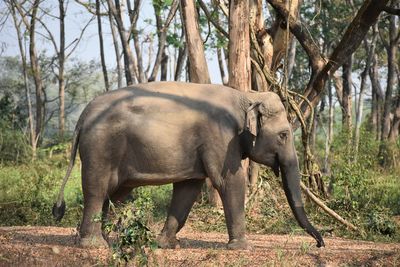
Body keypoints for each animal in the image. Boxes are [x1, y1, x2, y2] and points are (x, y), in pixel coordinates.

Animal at [52, 82, 324, 251]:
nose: (320, 243)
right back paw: (93, 245)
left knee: (113, 194)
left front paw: (167, 245)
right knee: (97, 189)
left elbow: (188, 188)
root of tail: (83, 115)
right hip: (101, 147)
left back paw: (106, 241)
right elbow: (229, 181)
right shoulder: (221, 136)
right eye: (284, 135)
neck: (246, 95)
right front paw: (244, 248)